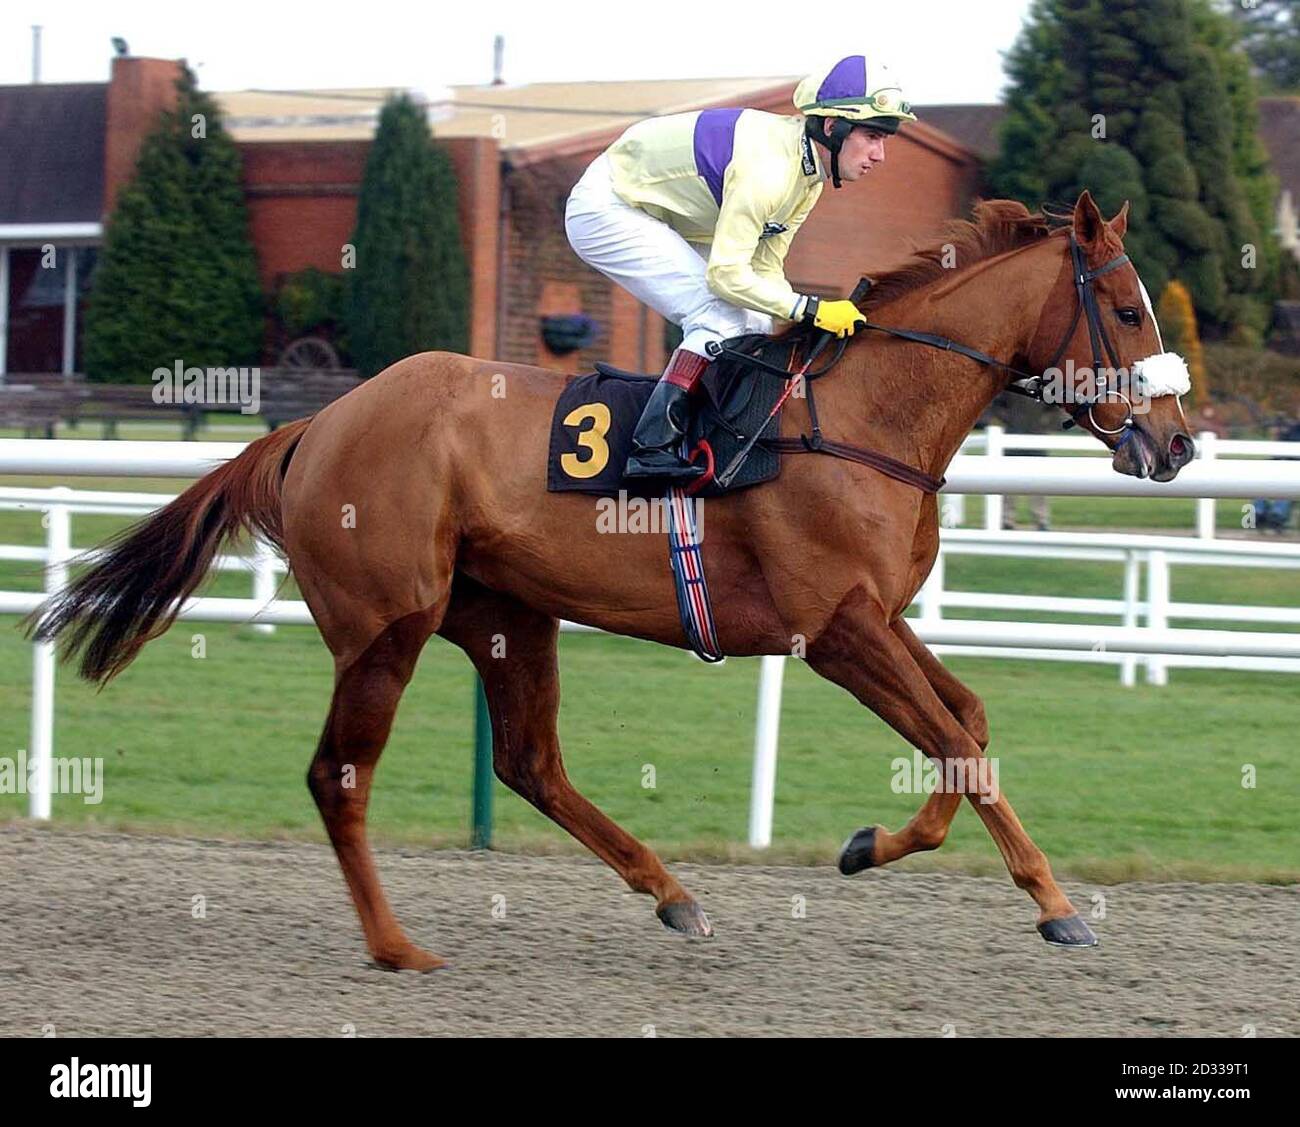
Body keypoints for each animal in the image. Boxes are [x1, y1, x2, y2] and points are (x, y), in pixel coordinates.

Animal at [30, 193, 1190, 967]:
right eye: (1131, 311)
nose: (1174, 443)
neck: (864, 417)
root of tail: (317, 423)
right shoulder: (834, 630)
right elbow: (957, 743)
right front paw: (1056, 904)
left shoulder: (875, 616)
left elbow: (967, 723)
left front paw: (870, 846)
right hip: (386, 626)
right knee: (339, 778)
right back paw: (399, 944)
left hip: (506, 615)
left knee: (531, 763)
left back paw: (670, 892)